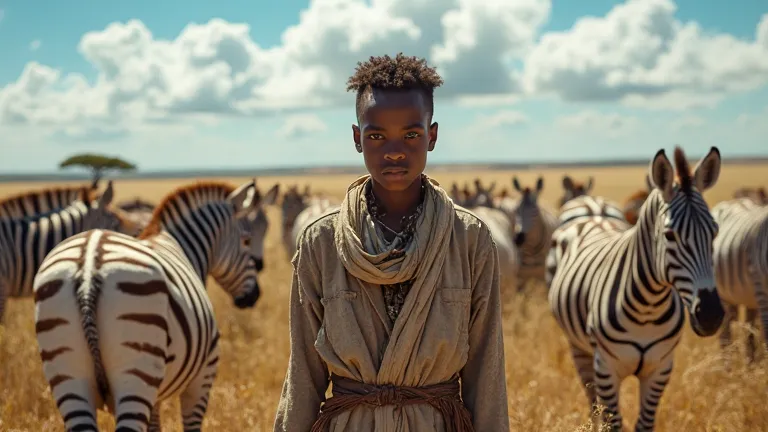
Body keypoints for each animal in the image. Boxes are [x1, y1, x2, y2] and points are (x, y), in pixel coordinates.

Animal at [33, 179, 266, 432]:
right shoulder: (202, 378)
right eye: (246, 240)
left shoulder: (155, 398)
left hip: (68, 377)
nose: (254, 296)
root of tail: (88, 269)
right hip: (137, 373)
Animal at [548, 147, 724, 430]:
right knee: (592, 403)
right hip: (578, 347)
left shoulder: (660, 369)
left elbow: (644, 424)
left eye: (714, 232)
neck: (648, 308)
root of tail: (593, 213)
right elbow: (612, 423)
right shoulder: (606, 369)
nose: (710, 315)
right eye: (670, 235)